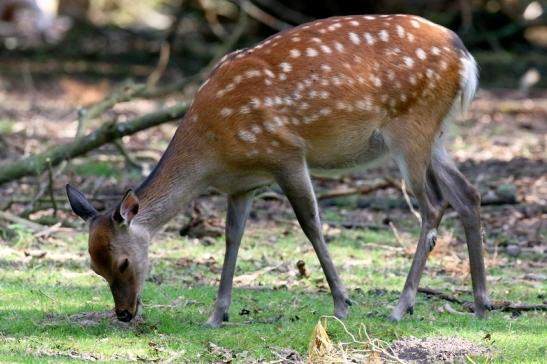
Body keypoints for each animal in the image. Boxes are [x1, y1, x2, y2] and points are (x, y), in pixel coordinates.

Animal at [67, 14, 492, 328]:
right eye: (94, 267)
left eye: (122, 262)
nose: (124, 314)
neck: (213, 152)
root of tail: (465, 57)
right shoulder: (241, 185)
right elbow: (232, 238)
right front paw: (217, 314)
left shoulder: (285, 153)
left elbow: (310, 223)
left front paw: (342, 302)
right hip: (436, 134)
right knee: (467, 194)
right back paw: (481, 303)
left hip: (411, 127)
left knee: (434, 206)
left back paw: (402, 306)